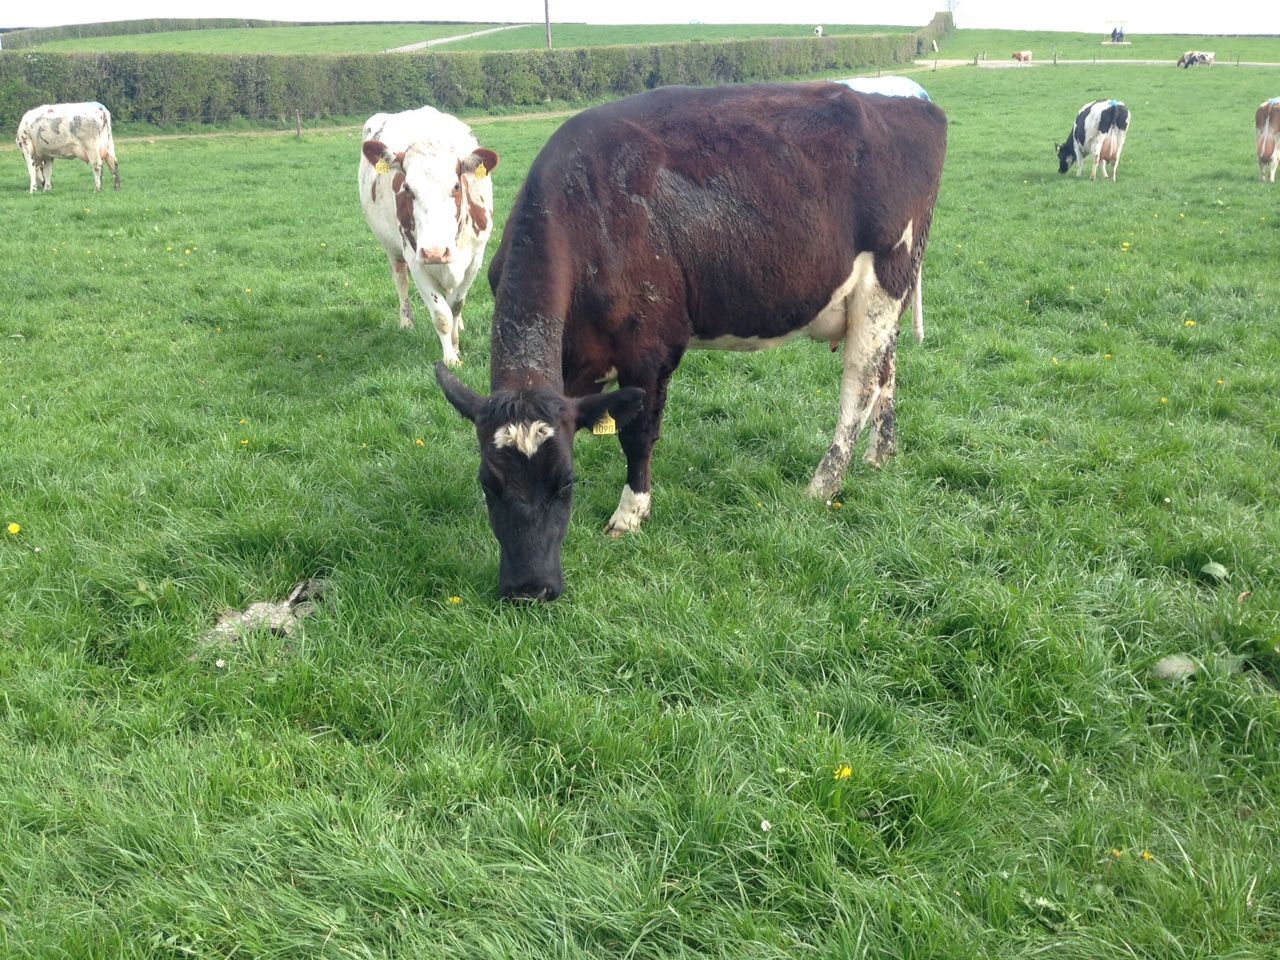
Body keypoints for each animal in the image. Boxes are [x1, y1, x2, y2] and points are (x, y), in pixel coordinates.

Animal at [359, 105, 499, 367]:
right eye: (407, 188)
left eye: (456, 186)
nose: (435, 251)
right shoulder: (417, 261)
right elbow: (442, 315)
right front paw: (451, 358)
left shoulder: (475, 260)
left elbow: (456, 305)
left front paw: (456, 344)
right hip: (391, 248)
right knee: (400, 279)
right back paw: (406, 321)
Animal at [435, 82, 947, 601]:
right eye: (489, 485)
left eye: (566, 484)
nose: (529, 589)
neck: (587, 211)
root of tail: (908, 99)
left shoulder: (649, 351)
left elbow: (638, 435)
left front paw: (630, 513)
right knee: (887, 372)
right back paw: (882, 455)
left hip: (883, 284)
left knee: (859, 388)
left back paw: (823, 486)